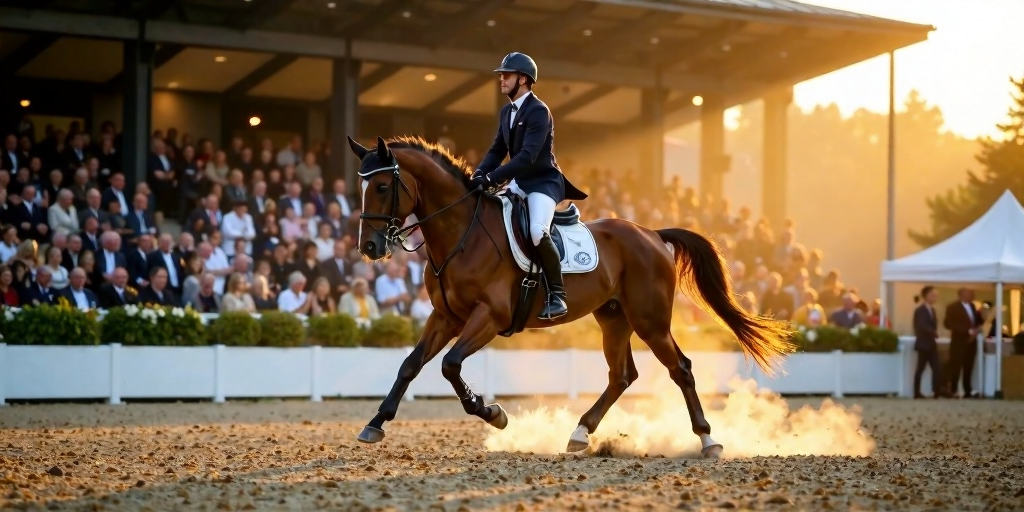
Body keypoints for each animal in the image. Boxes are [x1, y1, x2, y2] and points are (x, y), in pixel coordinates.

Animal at [344, 135, 790, 456]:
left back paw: (708, 440)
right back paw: (579, 433)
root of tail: (651, 234)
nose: (369, 247)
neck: (461, 235)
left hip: (650, 320)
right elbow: (410, 365)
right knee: (621, 375)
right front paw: (375, 424)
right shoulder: (445, 316)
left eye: (381, 185)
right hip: (614, 317)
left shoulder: (488, 316)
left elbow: (450, 365)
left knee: (680, 368)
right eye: (360, 187)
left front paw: (493, 413)